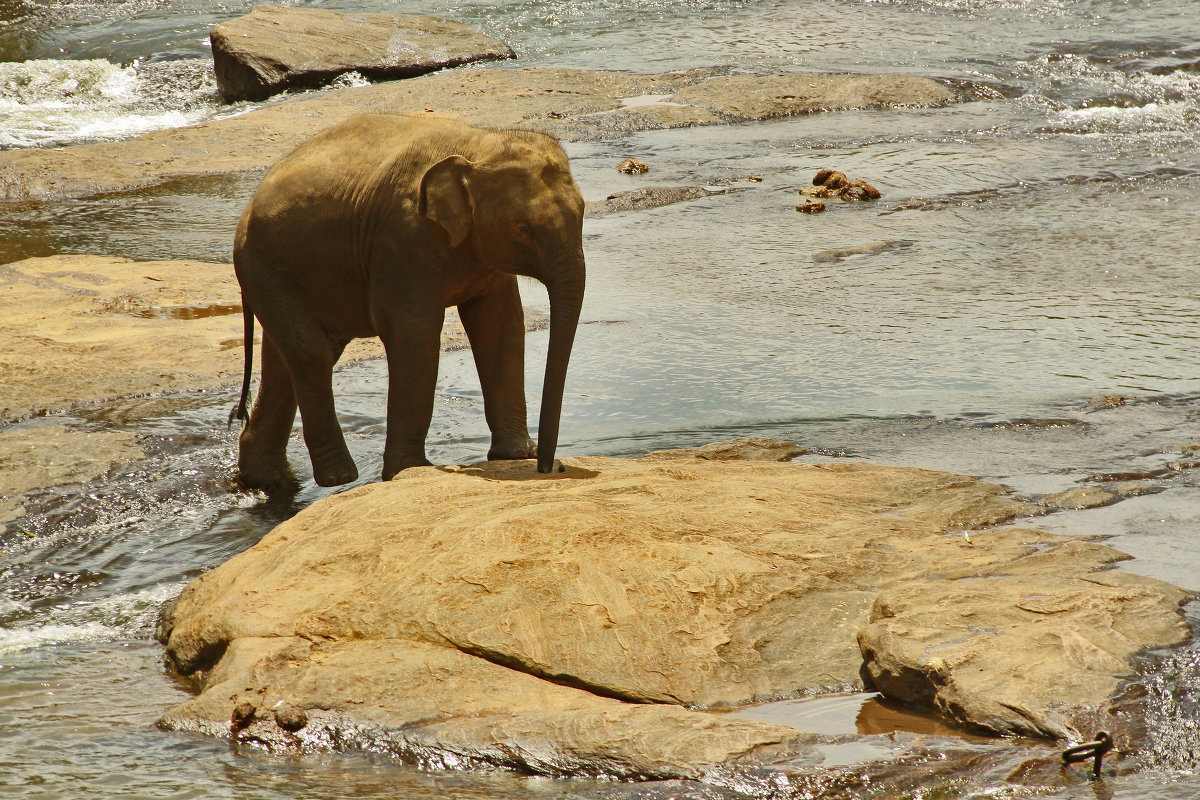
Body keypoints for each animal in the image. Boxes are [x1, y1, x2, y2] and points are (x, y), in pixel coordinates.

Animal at [228, 112, 585, 489]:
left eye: (582, 212)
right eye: (523, 228)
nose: (549, 466)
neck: (479, 144)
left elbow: (500, 325)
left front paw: (515, 455)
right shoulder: (403, 239)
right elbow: (415, 332)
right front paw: (409, 470)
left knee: (285, 361)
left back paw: (268, 479)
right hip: (263, 267)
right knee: (311, 352)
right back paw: (338, 477)